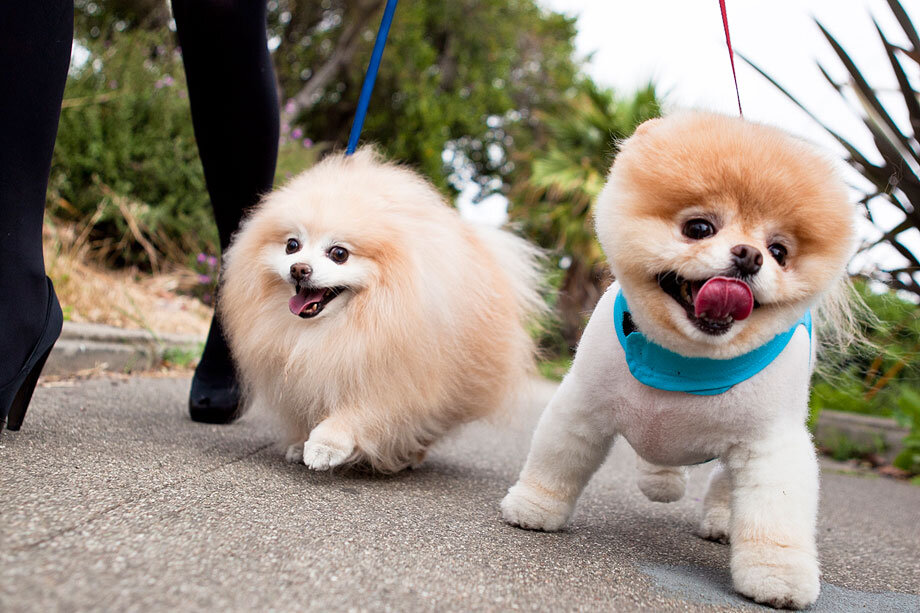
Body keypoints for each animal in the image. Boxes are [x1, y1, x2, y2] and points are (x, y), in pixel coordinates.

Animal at [219, 148, 544, 474]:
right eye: (292, 245)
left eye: (339, 253)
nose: (299, 269)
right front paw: (301, 443)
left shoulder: (391, 377)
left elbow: (359, 413)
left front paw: (326, 446)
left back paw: (411, 456)